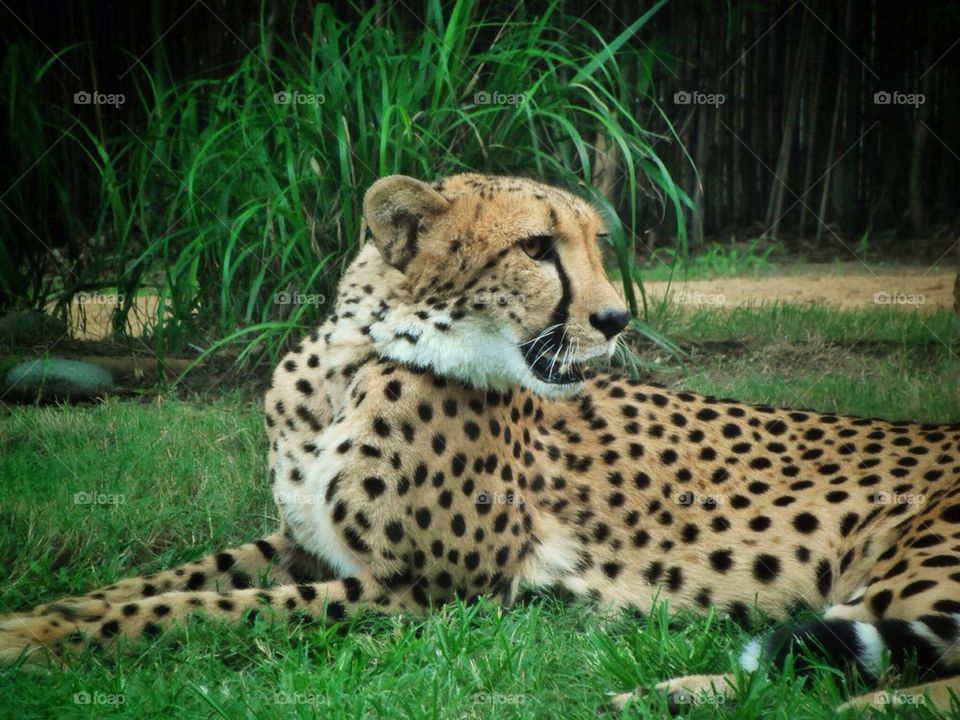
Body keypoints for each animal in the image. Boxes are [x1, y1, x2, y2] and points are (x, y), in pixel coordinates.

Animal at [3, 173, 960, 714]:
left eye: (594, 246)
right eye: (537, 247)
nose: (616, 320)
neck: (354, 361)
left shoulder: (422, 595)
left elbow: (198, 611)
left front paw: (43, 643)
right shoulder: (302, 542)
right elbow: (154, 586)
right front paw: (40, 619)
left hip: (914, 560)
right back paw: (670, 693)